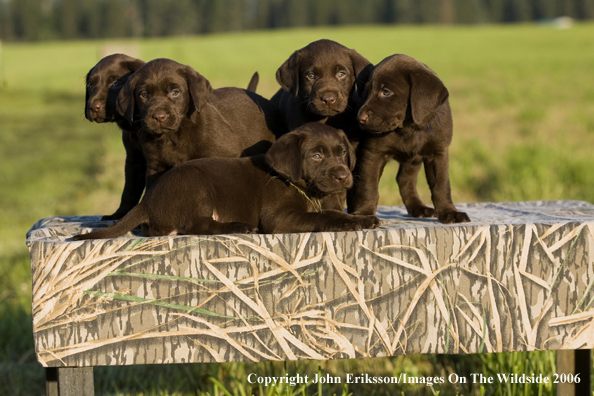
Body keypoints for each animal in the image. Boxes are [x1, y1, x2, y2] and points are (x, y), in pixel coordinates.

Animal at [74, 123, 380, 238]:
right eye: (316, 156)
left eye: (343, 153)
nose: (343, 175)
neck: (305, 190)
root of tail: (147, 201)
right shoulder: (279, 219)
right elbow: (321, 217)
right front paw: (351, 223)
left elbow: (331, 211)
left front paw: (362, 219)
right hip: (195, 183)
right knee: (197, 226)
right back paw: (239, 226)